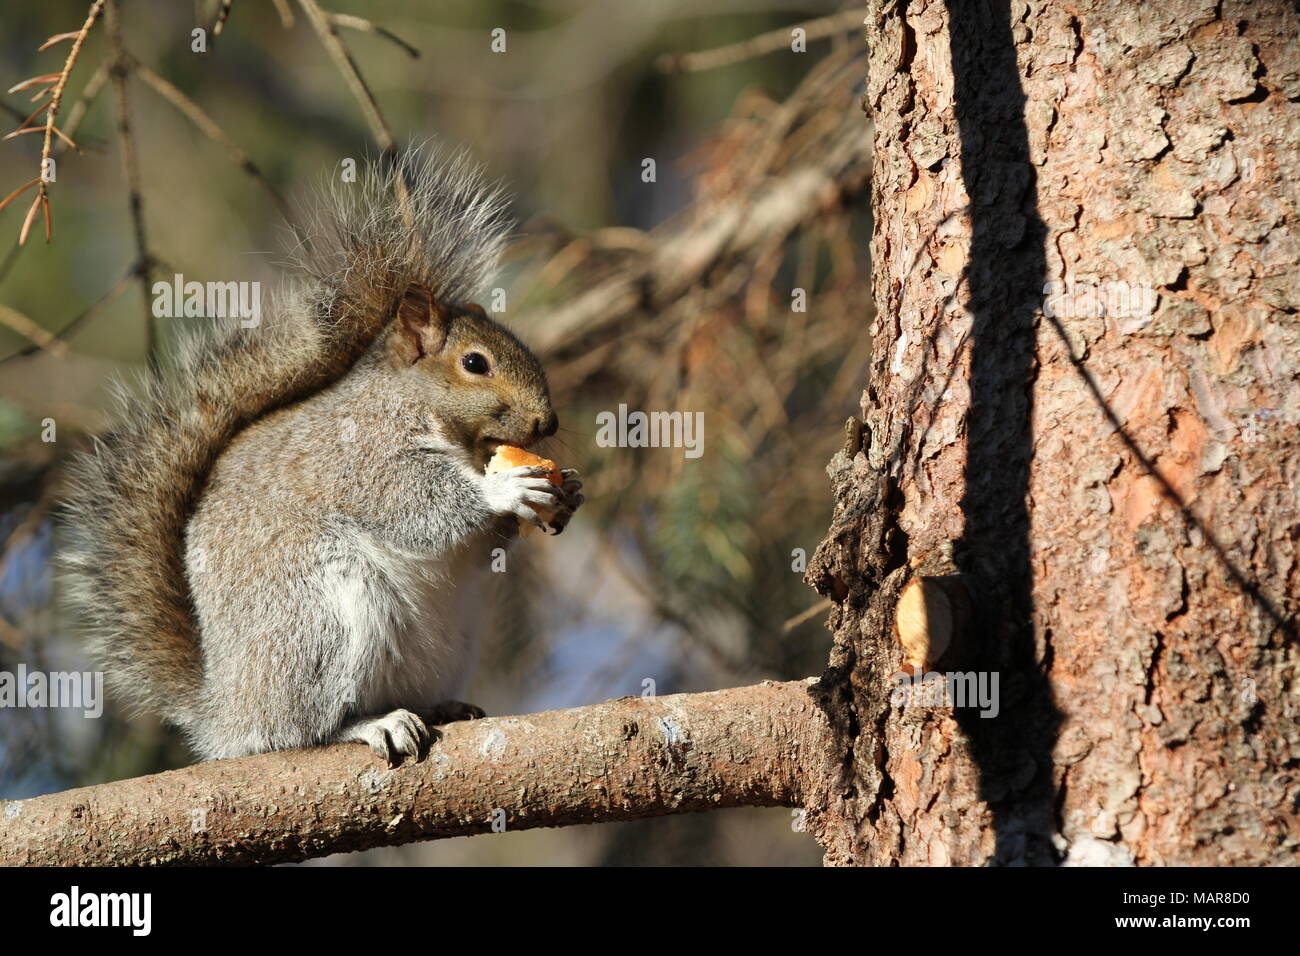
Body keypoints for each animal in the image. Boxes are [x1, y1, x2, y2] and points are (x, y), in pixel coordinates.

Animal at [63, 147, 582, 764]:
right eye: (475, 363)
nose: (548, 423)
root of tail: (227, 713)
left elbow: (478, 551)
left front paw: (567, 493)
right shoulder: (360, 454)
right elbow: (412, 507)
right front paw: (505, 489)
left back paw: (438, 707)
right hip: (318, 617)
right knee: (301, 728)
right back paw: (369, 724)